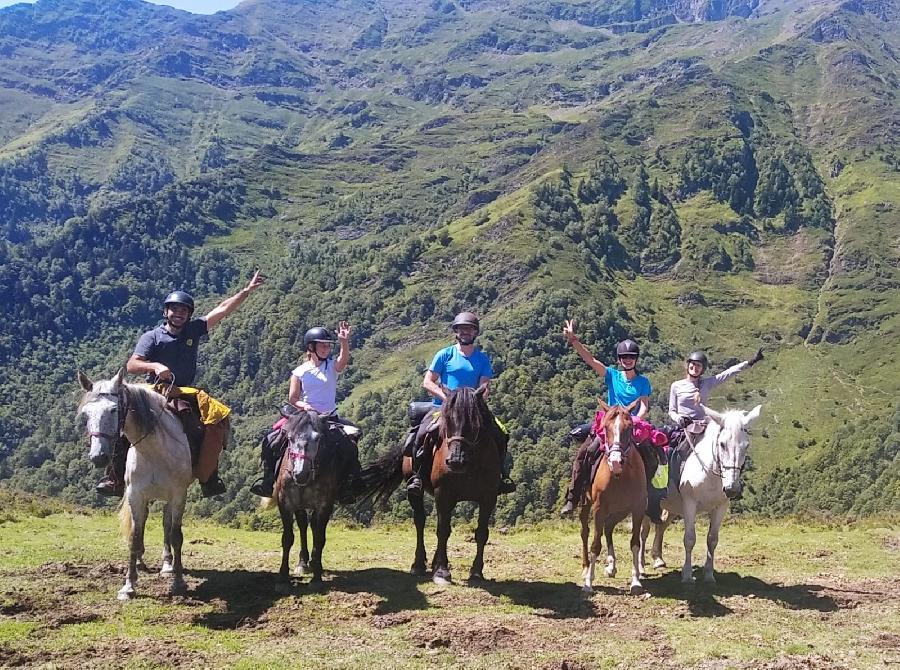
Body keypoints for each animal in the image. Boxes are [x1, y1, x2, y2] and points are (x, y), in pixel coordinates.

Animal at [77, 370, 193, 600]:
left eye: (113, 410)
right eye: (85, 414)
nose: (98, 457)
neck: (154, 450)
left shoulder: (178, 495)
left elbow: (176, 536)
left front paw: (178, 581)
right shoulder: (135, 495)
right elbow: (134, 536)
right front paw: (128, 586)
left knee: (167, 525)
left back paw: (168, 565)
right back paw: (140, 561)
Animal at [400, 386, 500, 584]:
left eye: (475, 425)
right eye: (447, 423)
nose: (455, 461)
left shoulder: (488, 497)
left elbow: (481, 533)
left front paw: (476, 572)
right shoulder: (443, 494)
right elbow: (443, 531)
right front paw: (442, 571)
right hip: (414, 490)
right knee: (420, 521)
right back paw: (419, 564)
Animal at [584, 402, 648, 596]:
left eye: (630, 427)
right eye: (606, 427)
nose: (615, 461)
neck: (620, 476)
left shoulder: (637, 508)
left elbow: (635, 543)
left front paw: (635, 581)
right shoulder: (598, 509)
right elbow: (595, 545)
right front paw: (588, 582)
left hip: (619, 511)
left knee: (609, 528)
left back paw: (611, 565)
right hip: (587, 506)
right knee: (586, 532)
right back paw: (586, 568)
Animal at [640, 406, 760, 584]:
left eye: (746, 445)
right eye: (722, 444)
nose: (732, 488)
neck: (709, 472)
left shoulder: (721, 507)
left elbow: (712, 540)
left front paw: (709, 575)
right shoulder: (690, 504)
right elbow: (689, 539)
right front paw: (687, 576)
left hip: (672, 507)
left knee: (661, 525)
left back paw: (658, 559)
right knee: (643, 533)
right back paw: (641, 567)